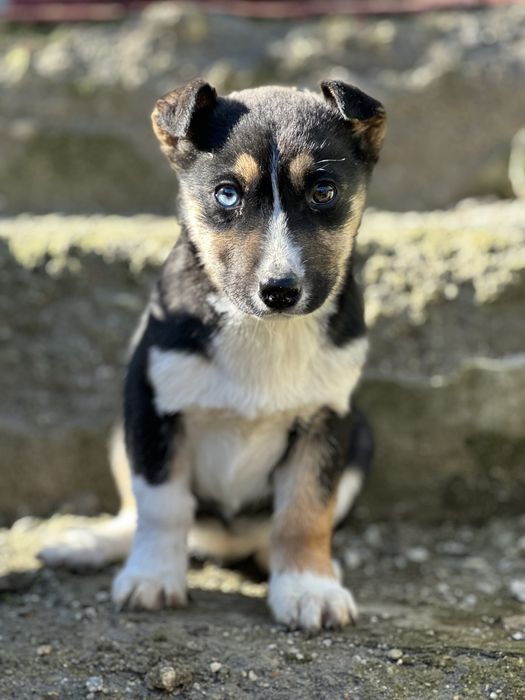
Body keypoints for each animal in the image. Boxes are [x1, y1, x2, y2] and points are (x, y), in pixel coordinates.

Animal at [39, 78, 386, 631]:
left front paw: (308, 587)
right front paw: (153, 579)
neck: (261, 330)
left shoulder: (327, 421)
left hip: (363, 440)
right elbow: (162, 505)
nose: (279, 291)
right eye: (226, 194)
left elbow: (306, 512)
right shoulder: (154, 406)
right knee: (135, 513)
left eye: (323, 192)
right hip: (122, 429)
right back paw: (87, 545)